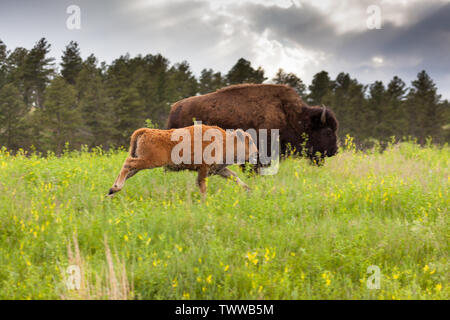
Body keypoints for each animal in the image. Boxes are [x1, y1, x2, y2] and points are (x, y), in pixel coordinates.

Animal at [107, 125, 258, 198]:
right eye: (249, 141)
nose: (256, 154)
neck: (225, 141)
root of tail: (144, 131)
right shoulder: (204, 169)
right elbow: (202, 185)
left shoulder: (218, 169)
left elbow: (234, 177)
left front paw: (249, 190)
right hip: (148, 161)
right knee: (128, 164)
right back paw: (115, 188)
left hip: (141, 163)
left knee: (127, 171)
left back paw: (111, 192)